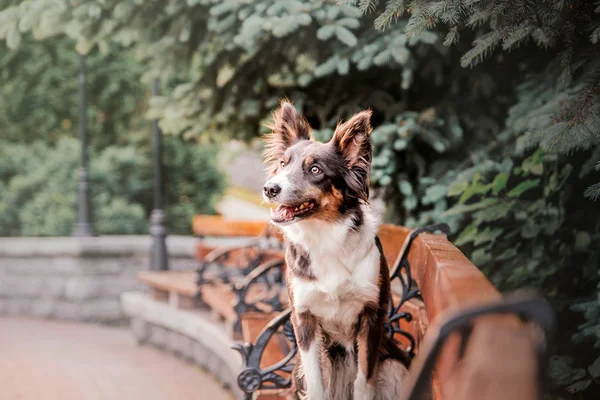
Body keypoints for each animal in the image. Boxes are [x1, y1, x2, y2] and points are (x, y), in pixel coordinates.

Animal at [262, 101, 408, 400]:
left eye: (316, 170)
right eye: (283, 163)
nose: (269, 188)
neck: (323, 236)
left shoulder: (372, 315)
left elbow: (364, 381)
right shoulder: (304, 318)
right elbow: (316, 383)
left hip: (396, 367)